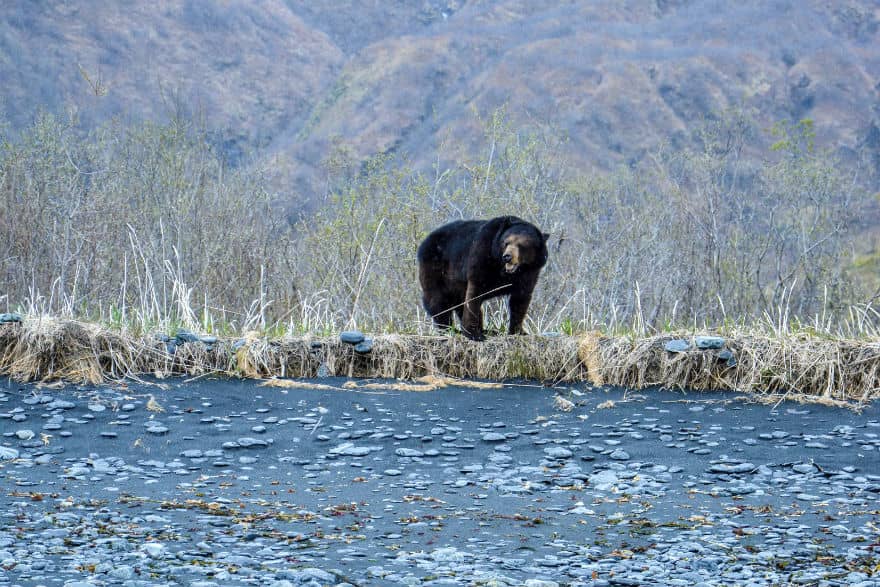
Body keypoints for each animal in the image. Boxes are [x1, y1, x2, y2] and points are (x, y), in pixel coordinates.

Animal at [417, 215, 548, 341]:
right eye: (506, 242)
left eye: (521, 245)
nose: (507, 256)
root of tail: (424, 243)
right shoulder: (483, 255)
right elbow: (474, 293)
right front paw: (473, 334)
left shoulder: (529, 273)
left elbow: (520, 299)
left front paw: (519, 331)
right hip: (436, 269)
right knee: (437, 300)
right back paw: (449, 329)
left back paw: (486, 330)